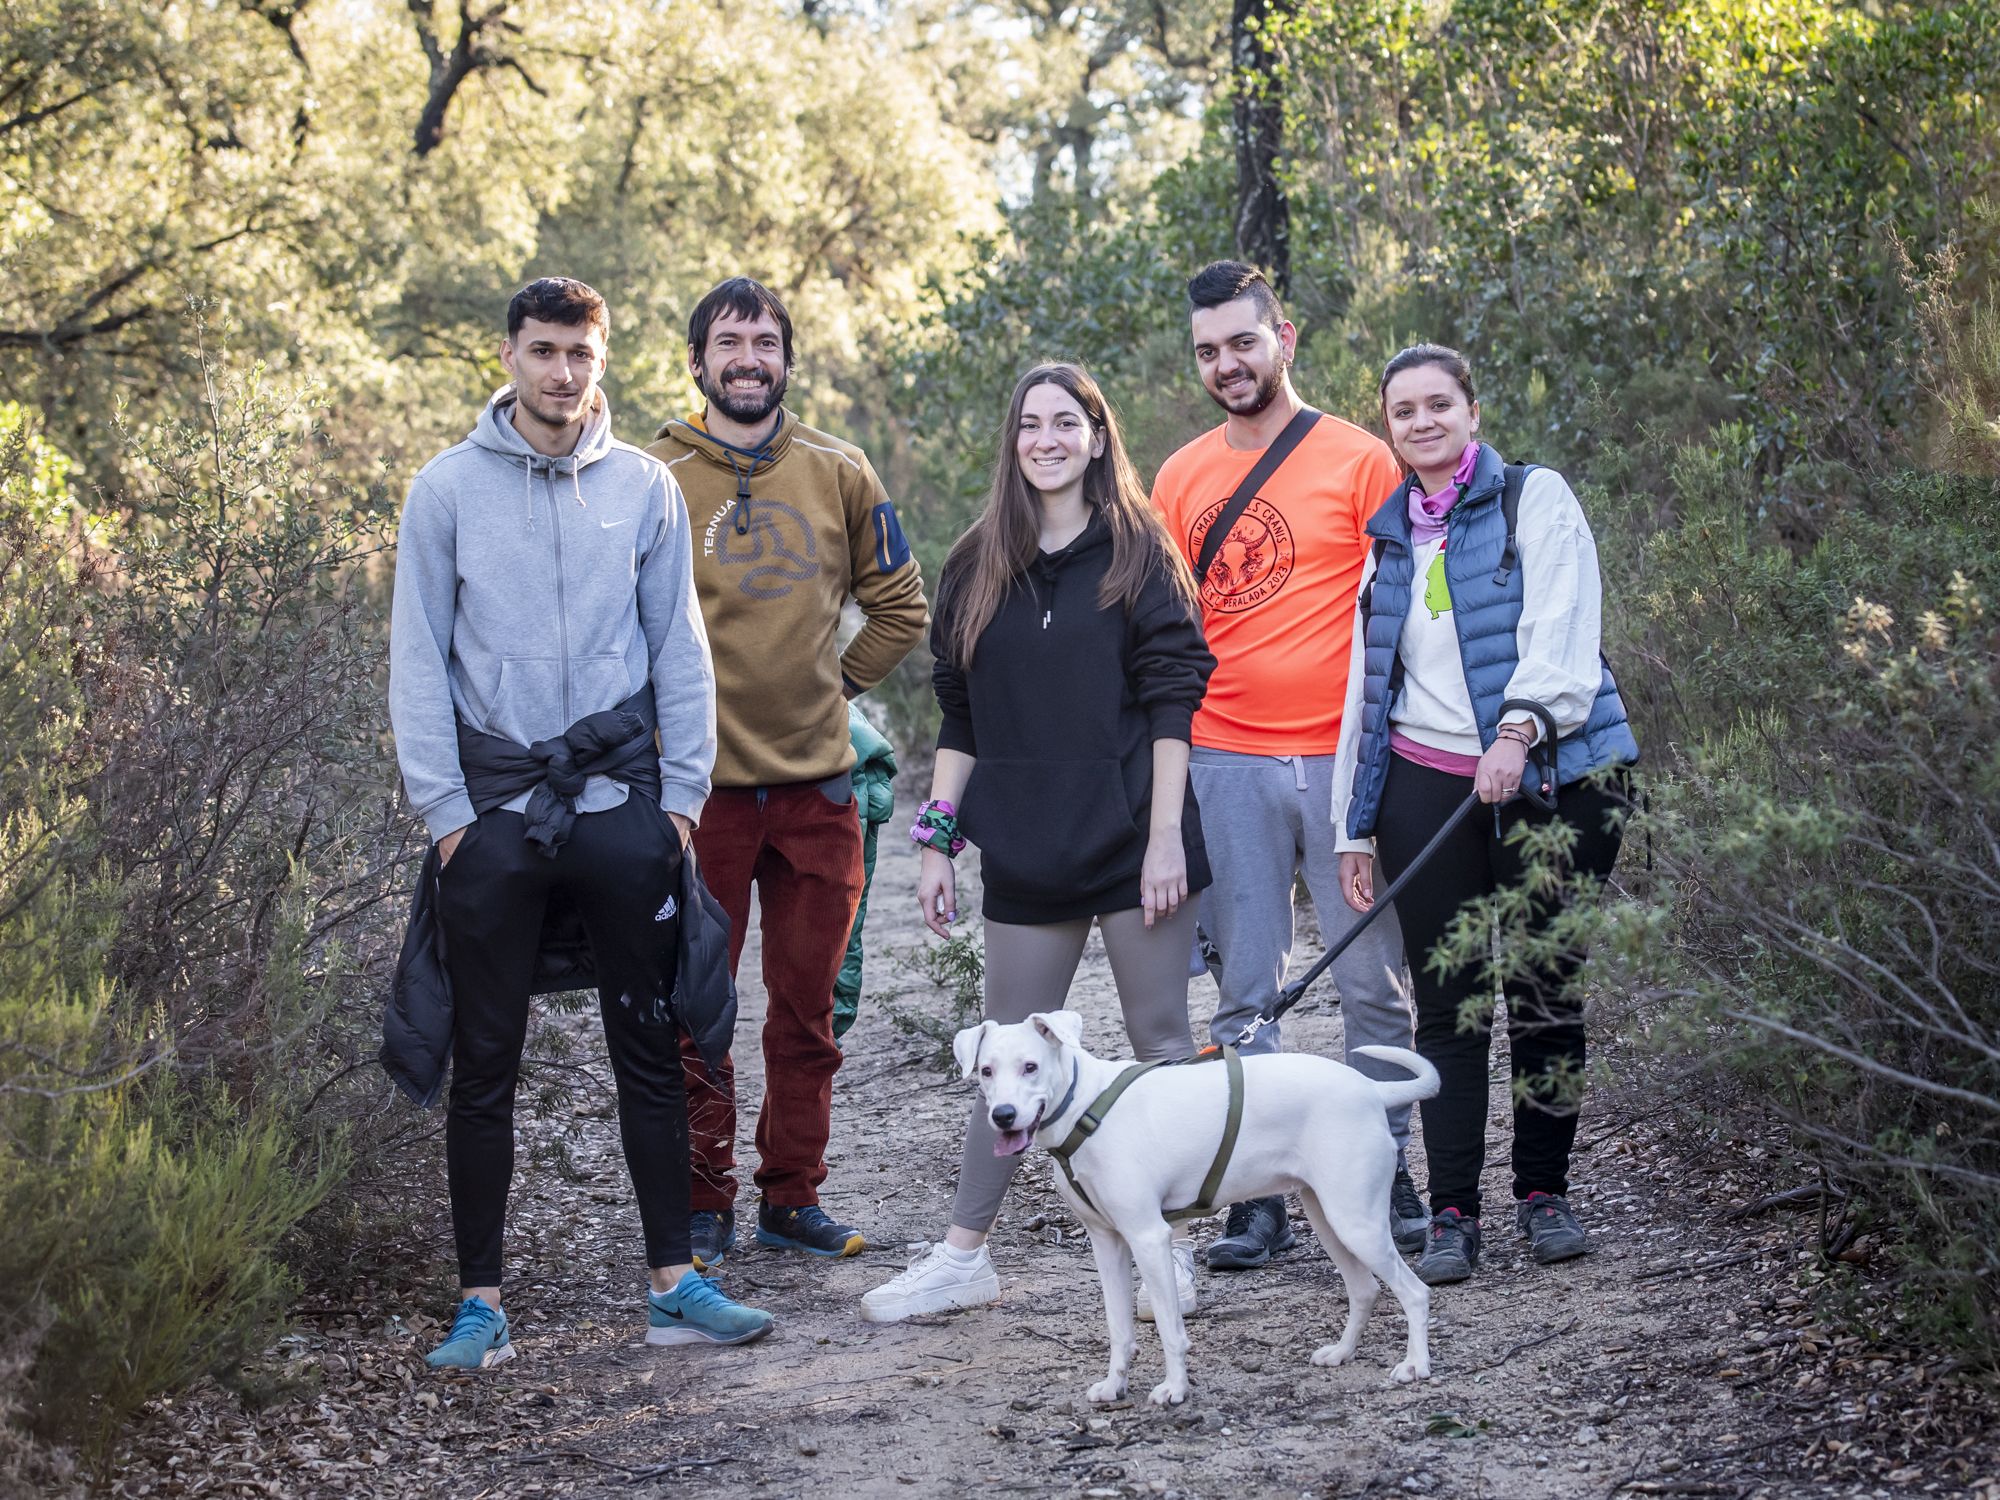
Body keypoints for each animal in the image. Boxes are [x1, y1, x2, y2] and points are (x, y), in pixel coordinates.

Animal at [952, 1016, 1440, 1416]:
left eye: (1030, 1067)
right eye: (987, 1071)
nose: (1003, 1116)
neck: (1085, 1108)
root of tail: (1371, 1089)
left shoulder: (1148, 1238)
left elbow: (1170, 1329)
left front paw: (1175, 1389)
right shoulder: (1107, 1244)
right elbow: (1118, 1328)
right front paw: (1114, 1387)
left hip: (1357, 1223)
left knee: (1414, 1293)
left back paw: (1415, 1365)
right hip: (1330, 1220)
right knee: (1364, 1290)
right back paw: (1341, 1353)